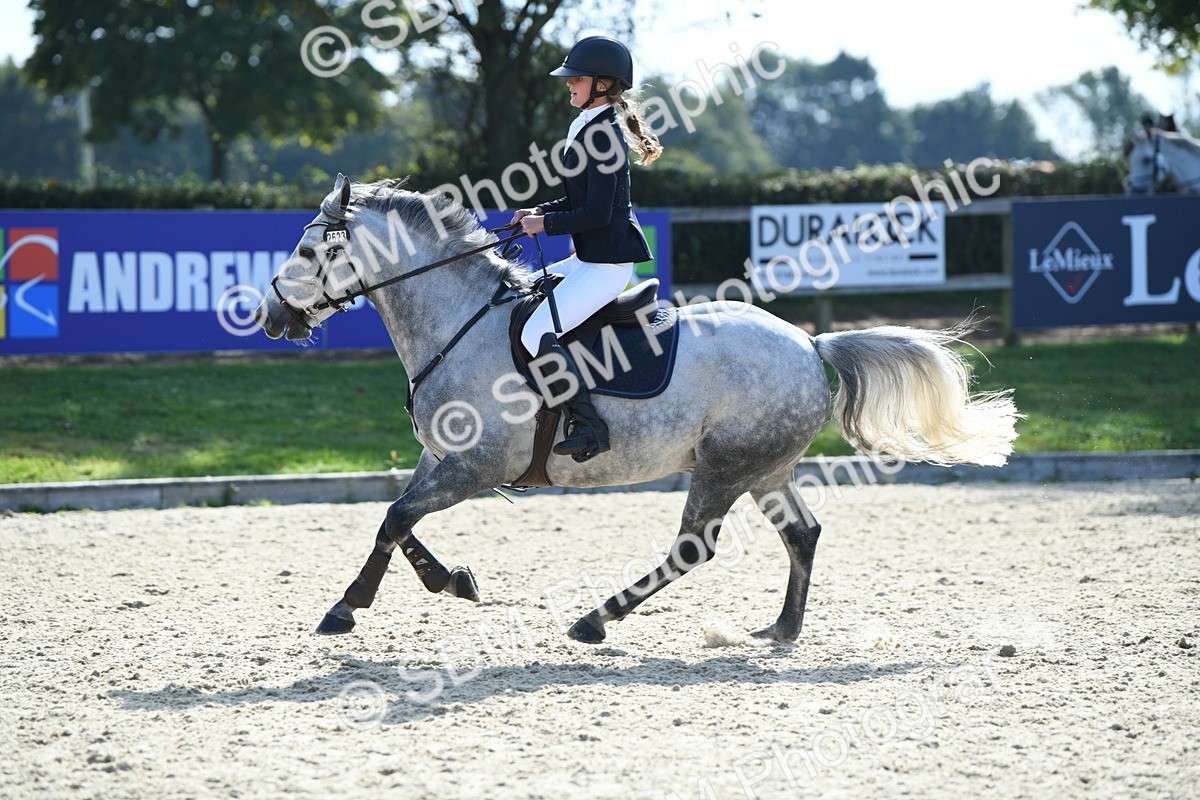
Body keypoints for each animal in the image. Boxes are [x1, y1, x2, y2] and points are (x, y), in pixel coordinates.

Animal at [254, 175, 1020, 644]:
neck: (457, 320)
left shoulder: (476, 466)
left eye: (308, 249)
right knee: (802, 534)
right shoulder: (439, 456)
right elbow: (400, 519)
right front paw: (453, 582)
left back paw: (596, 619)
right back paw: (781, 630)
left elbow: (394, 518)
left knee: (695, 545)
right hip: (763, 468)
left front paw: (346, 608)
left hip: (723, 468)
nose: (269, 316)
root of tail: (810, 341)